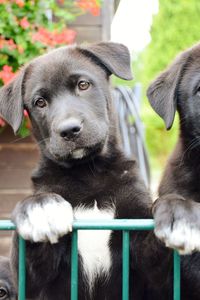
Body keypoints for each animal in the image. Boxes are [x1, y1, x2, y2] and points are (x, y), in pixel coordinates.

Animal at [0, 42, 170, 300]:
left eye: (83, 85)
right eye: (40, 102)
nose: (69, 130)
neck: (88, 173)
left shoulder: (145, 259)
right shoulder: (30, 284)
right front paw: (40, 208)